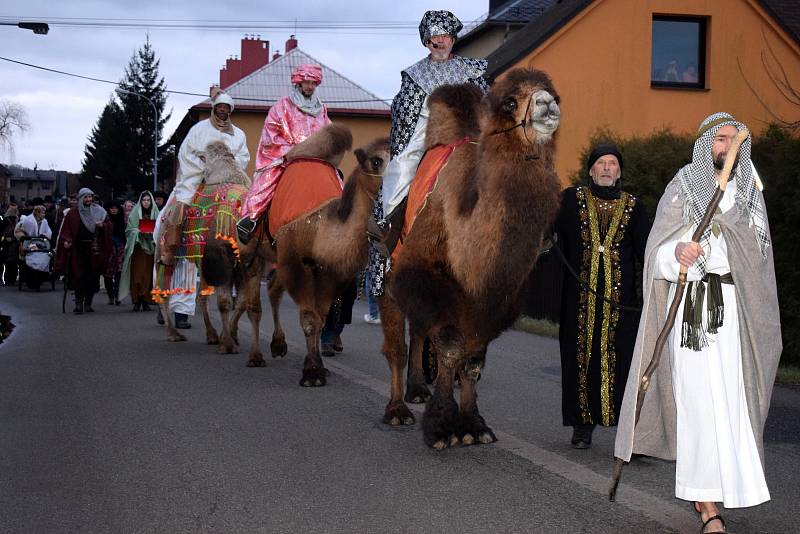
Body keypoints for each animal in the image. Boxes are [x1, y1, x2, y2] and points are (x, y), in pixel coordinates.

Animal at [380, 69, 564, 450]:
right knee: (397, 344)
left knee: (418, 332)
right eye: (510, 102)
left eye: (555, 94)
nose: (546, 104)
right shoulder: (420, 275)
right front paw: (440, 427)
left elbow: (472, 360)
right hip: (387, 269)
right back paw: (397, 410)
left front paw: (473, 425)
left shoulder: (493, 298)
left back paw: (417, 389)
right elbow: (450, 348)